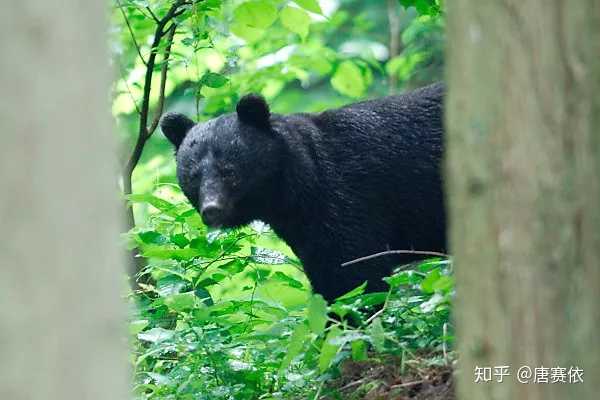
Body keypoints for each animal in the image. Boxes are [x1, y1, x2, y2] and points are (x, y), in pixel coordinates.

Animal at [159, 84, 446, 304]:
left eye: (229, 171)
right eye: (193, 177)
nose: (212, 210)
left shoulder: (349, 202)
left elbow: (355, 277)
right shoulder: (310, 235)